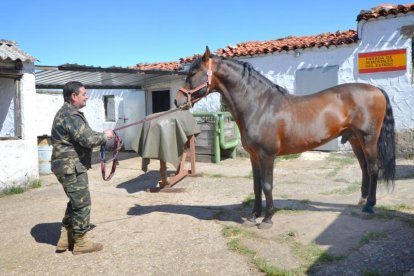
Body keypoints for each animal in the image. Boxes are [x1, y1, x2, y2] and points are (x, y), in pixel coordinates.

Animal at [174, 47, 394, 229]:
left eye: (192, 73)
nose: (177, 101)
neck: (259, 106)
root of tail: (376, 90)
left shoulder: (267, 156)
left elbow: (267, 185)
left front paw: (267, 219)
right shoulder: (254, 156)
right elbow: (256, 186)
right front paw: (253, 216)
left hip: (368, 139)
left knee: (373, 168)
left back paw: (369, 206)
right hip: (355, 139)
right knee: (364, 167)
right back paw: (362, 200)